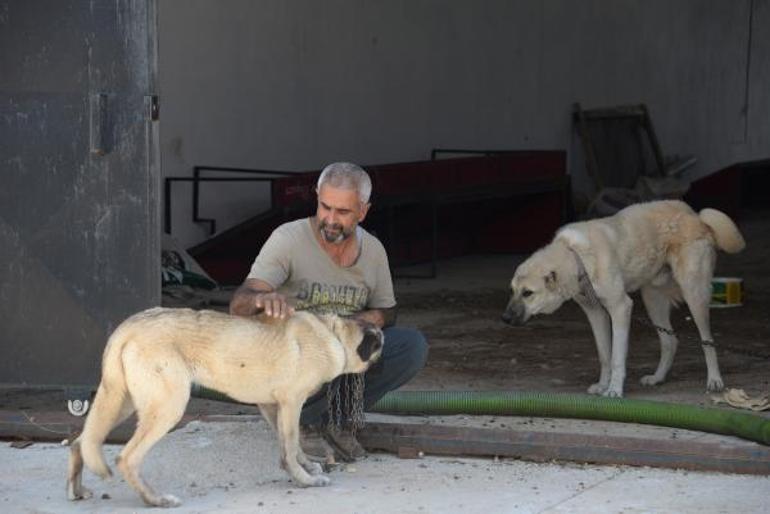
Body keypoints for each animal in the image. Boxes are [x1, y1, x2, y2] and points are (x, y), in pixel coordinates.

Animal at [66, 306, 380, 506]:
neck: (334, 333)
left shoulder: (272, 407)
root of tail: (127, 327)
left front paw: (305, 468)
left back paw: (77, 491)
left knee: (81, 441)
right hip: (167, 407)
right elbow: (291, 445)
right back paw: (155, 500)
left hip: (121, 401)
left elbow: (290, 446)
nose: (384, 336)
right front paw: (305, 480)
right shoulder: (292, 403)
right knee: (126, 458)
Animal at [500, 199, 740, 396]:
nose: (504, 319)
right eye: (512, 290)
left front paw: (614, 389)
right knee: (670, 341)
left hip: (694, 293)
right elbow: (604, 355)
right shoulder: (596, 313)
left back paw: (714, 380)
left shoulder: (620, 308)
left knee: (707, 340)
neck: (576, 257)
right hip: (653, 300)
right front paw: (602, 385)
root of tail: (694, 215)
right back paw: (658, 378)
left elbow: (616, 356)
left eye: (528, 293)